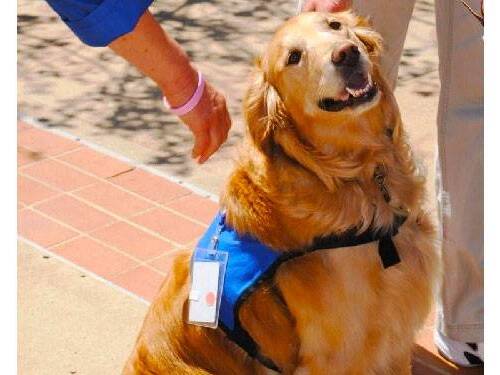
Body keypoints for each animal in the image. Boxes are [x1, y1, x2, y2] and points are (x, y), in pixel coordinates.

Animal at [124, 11, 438, 375]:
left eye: (334, 25)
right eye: (293, 57)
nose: (346, 54)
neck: (362, 177)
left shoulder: (396, 340)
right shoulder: (339, 354)